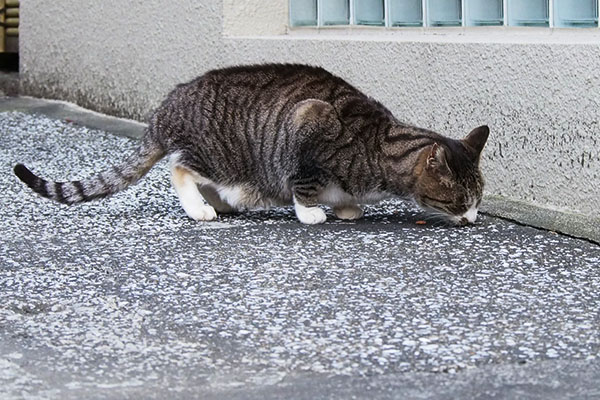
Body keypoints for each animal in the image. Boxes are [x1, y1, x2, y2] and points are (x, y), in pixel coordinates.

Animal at [12, 63, 488, 223]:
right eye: (459, 201)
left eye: (478, 199)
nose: (472, 219)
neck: (379, 146)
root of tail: (166, 107)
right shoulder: (308, 125)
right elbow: (303, 186)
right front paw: (312, 212)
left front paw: (348, 206)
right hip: (219, 155)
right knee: (179, 167)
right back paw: (201, 208)